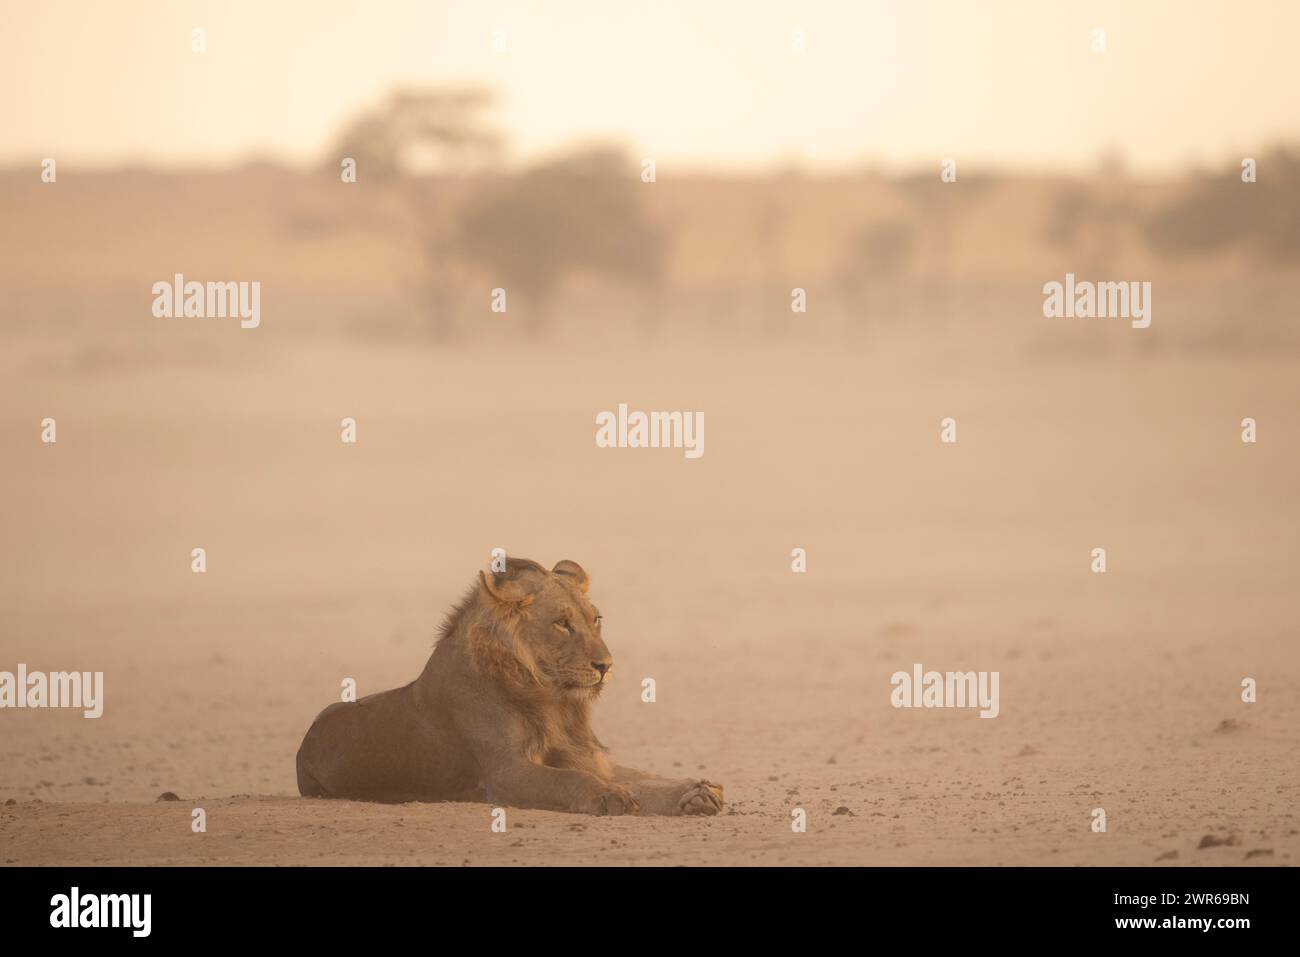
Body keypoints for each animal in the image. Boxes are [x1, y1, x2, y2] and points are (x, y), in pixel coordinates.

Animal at [293, 561, 722, 816]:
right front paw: (609, 796)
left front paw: (695, 792)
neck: (554, 700)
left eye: (595, 619)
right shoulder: (504, 772)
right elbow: (571, 780)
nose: (606, 666)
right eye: (562, 623)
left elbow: (644, 777)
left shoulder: (588, 757)